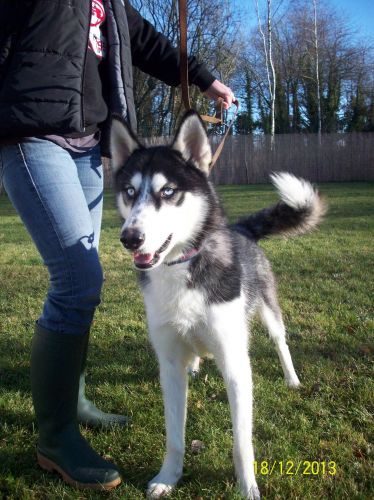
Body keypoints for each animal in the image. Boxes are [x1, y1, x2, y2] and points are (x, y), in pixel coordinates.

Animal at [110, 112, 324, 500]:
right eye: (130, 192)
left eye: (168, 191)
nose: (130, 238)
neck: (182, 267)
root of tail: (241, 229)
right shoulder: (169, 365)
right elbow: (174, 436)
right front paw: (169, 477)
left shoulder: (236, 363)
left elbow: (242, 442)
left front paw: (248, 487)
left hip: (268, 311)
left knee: (280, 342)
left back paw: (292, 378)